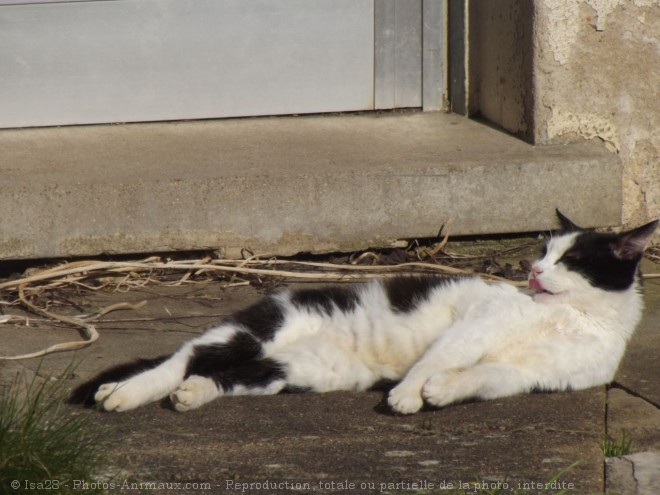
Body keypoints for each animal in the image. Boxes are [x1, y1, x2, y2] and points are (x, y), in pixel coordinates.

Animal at [69, 211, 656, 416]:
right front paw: (409, 394)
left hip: (308, 370)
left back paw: (191, 396)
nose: (532, 272)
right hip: (258, 329)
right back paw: (123, 393)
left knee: (233, 375)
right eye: (543, 252)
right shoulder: (477, 325)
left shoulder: (529, 375)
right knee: (182, 358)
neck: (574, 317)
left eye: (570, 260)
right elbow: (439, 358)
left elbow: (482, 376)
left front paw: (441, 392)